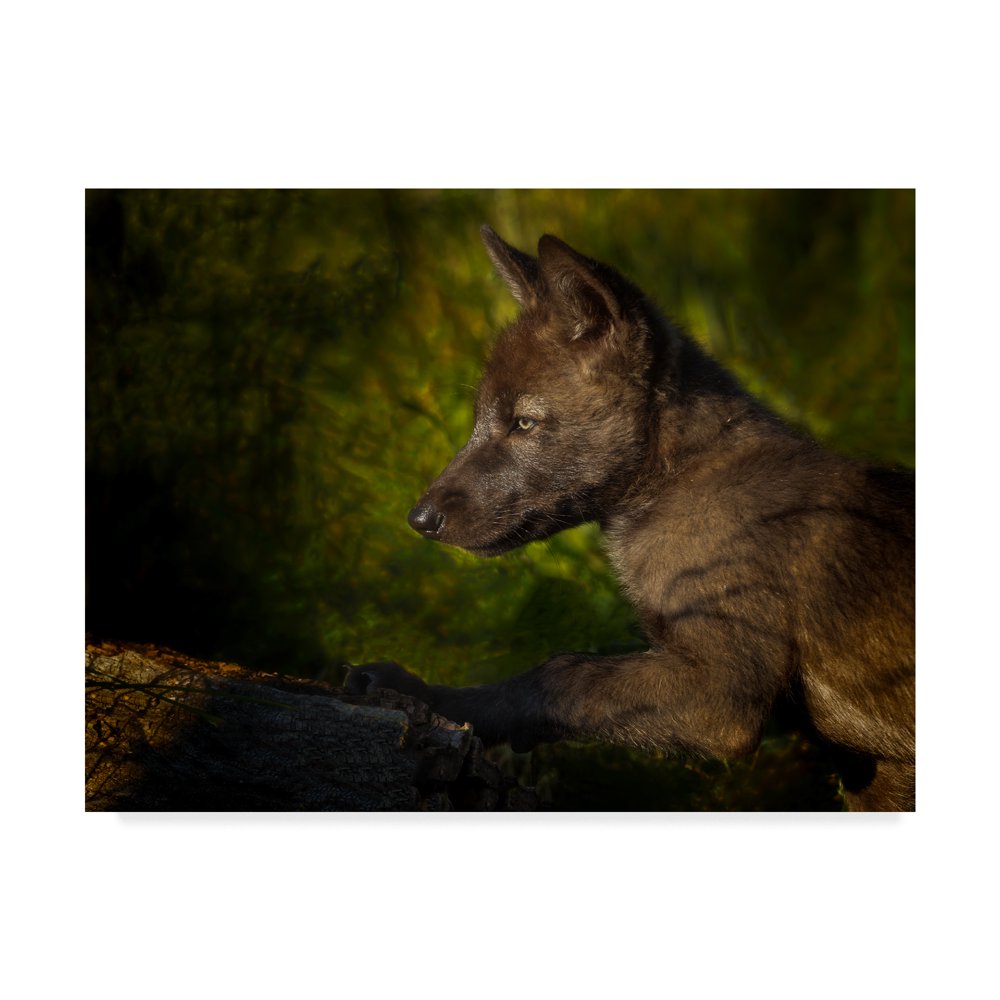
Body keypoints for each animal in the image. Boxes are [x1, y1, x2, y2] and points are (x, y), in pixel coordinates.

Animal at [346, 226, 915, 811]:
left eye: (524, 422)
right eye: (481, 418)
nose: (418, 519)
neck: (678, 480)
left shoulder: (722, 694)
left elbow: (558, 674)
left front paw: (424, 694)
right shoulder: (876, 771)